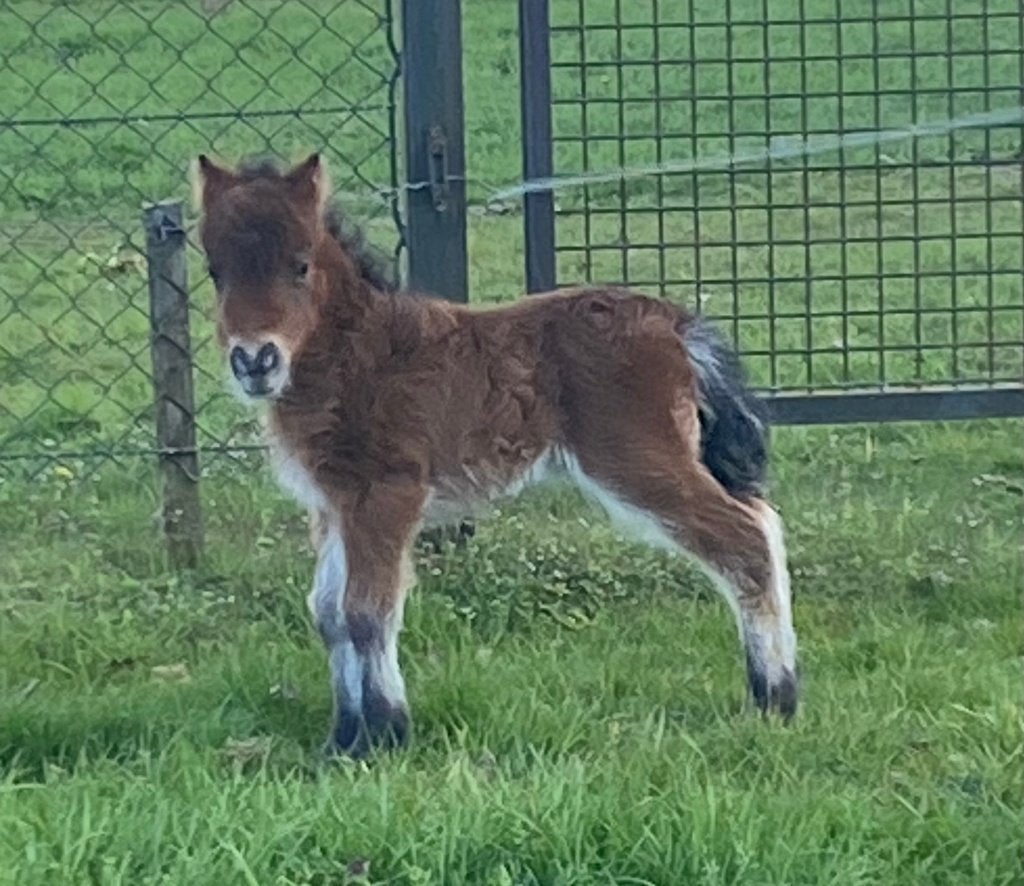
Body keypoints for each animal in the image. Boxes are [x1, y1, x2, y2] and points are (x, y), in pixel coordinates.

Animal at [192, 152, 799, 758]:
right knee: (761, 520)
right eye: (215, 272)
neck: (359, 355)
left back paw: (776, 700)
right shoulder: (332, 503)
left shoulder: (388, 491)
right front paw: (341, 739)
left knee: (744, 541)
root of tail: (674, 322)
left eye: (300, 266)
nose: (255, 361)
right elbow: (328, 613)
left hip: (637, 460)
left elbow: (366, 611)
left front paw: (383, 735)